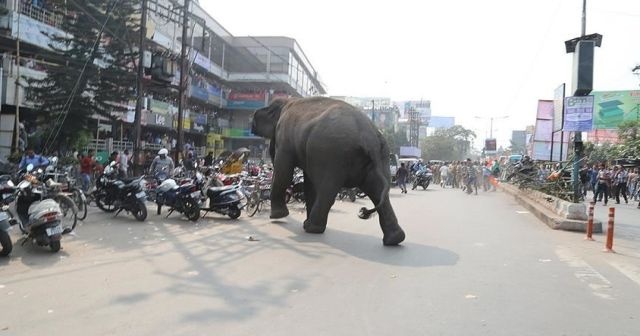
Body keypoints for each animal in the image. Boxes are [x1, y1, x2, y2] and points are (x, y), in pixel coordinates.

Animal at [251, 96, 404, 245]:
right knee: (377, 191)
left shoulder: (284, 138)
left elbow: (284, 173)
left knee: (327, 191)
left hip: (332, 155)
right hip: (378, 158)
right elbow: (309, 183)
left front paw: (278, 216)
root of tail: (369, 137)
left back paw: (311, 228)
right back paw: (395, 239)